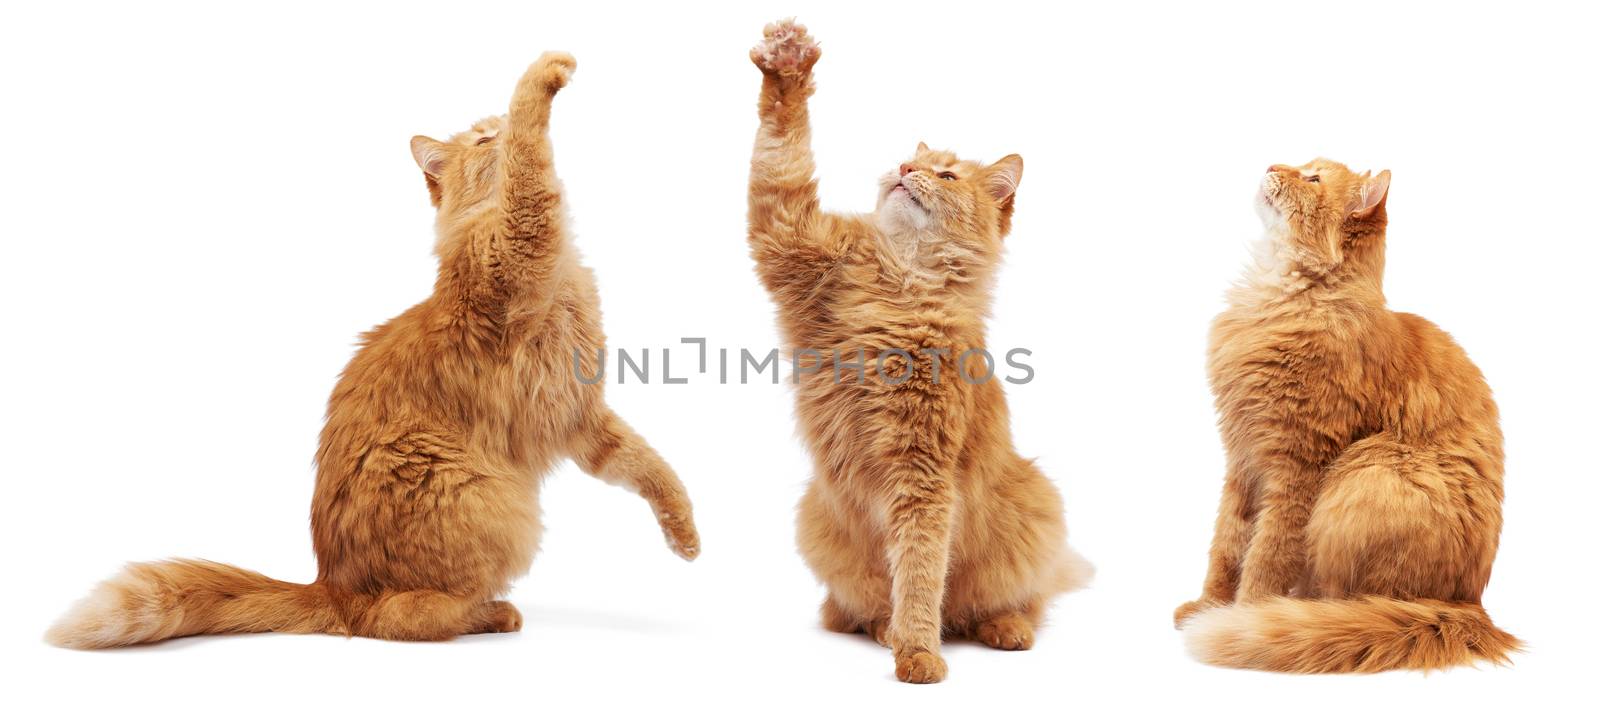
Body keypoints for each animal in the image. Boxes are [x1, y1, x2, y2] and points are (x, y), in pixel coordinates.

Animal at [46, 52, 697, 649]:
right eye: (487, 136)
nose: (498, 126)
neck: (560, 273)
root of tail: (331, 585)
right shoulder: (520, 240)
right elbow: (531, 162)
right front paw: (546, 74)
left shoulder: (581, 415)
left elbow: (649, 467)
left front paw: (684, 536)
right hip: (482, 499)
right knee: (402, 618)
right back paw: (491, 614)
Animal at [745, 18, 1094, 684]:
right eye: (911, 159)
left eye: (948, 174)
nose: (907, 166)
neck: (900, 280)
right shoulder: (789, 235)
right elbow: (781, 149)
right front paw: (787, 64)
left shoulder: (922, 469)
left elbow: (921, 568)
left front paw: (918, 652)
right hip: (816, 515)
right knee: (848, 612)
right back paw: (883, 627)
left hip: (1037, 502)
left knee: (1015, 603)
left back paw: (1002, 628)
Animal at [1177, 158, 1523, 671]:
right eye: (1303, 167)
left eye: (1312, 179)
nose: (1273, 165)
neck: (1277, 297)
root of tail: (1469, 606)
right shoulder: (1242, 459)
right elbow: (1226, 545)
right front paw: (1207, 606)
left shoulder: (1297, 465)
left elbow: (1265, 557)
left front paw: (1241, 614)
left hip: (1368, 472)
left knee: (1342, 595)